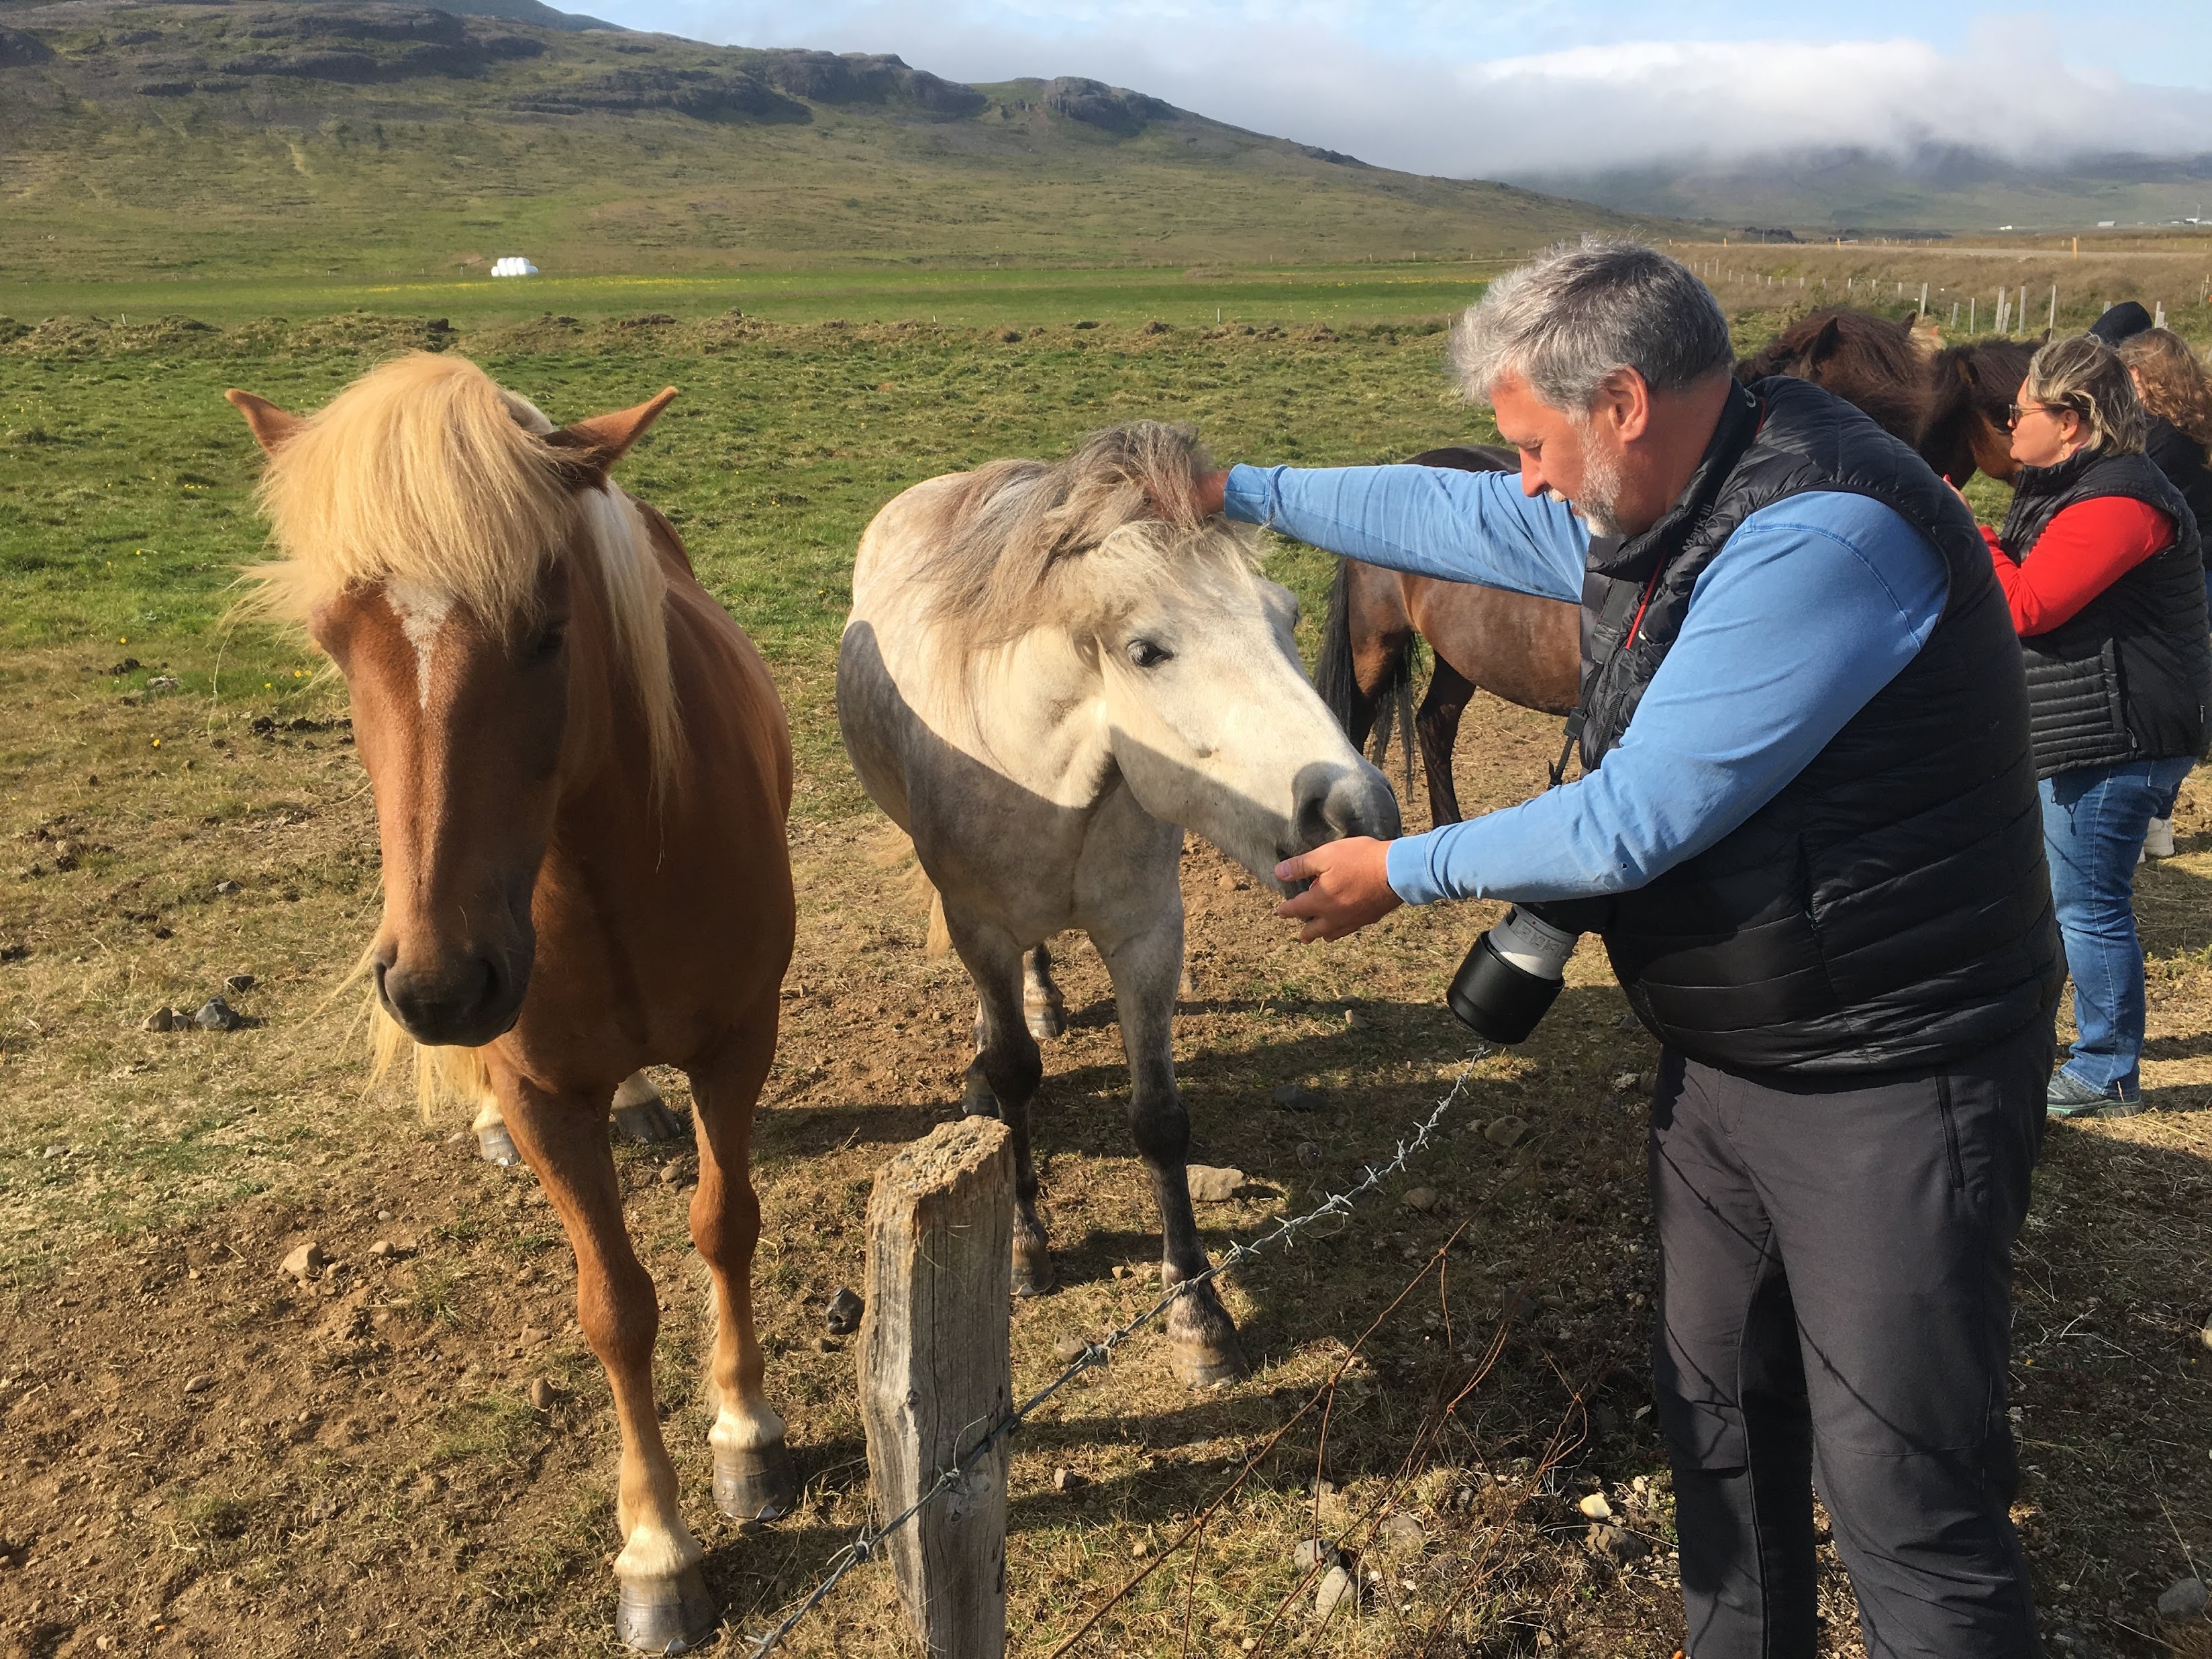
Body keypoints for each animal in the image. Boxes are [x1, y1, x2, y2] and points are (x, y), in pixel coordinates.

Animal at [233, 358, 801, 1654]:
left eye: (548, 632)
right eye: (333, 642)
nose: (443, 985)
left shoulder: (739, 1044)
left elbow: (723, 1225)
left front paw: (746, 1433)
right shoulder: (547, 1096)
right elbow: (615, 1307)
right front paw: (655, 1547)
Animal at [836, 422, 1389, 1380]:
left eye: (1285, 616)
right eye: (1147, 652)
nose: (1355, 813)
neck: (1047, 776)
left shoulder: (1147, 933)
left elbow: (1159, 1121)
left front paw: (1197, 1312)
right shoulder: (978, 925)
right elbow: (1015, 1077)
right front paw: (1024, 1246)